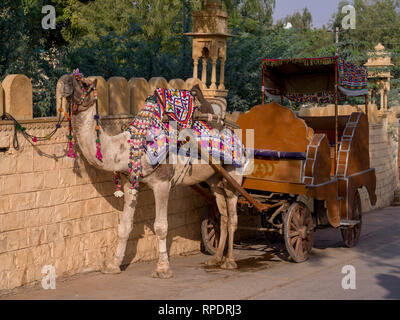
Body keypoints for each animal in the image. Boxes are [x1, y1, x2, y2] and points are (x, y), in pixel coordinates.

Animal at [59, 73, 244, 278]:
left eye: (83, 83)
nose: (63, 80)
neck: (128, 148)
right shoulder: (130, 183)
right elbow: (124, 226)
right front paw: (113, 265)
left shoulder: (162, 183)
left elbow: (161, 227)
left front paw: (162, 269)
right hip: (214, 179)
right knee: (223, 214)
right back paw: (216, 259)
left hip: (234, 173)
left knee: (233, 216)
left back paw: (230, 261)